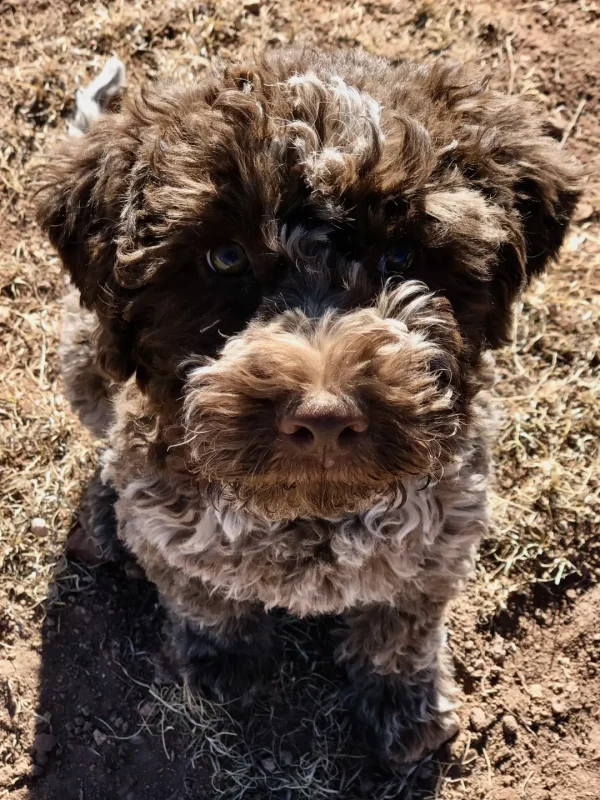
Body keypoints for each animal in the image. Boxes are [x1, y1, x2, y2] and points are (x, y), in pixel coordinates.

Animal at [37, 48, 580, 764]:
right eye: (226, 257)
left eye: (401, 254)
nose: (324, 420)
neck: (310, 520)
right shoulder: (172, 530)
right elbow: (202, 596)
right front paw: (221, 661)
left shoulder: (441, 541)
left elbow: (403, 624)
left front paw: (401, 703)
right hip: (84, 356)